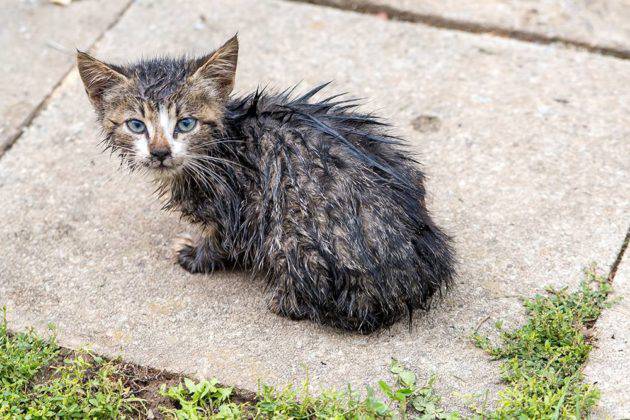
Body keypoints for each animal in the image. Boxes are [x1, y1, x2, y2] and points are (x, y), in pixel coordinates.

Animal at [78, 34, 454, 334]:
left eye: (185, 123)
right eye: (136, 125)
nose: (159, 153)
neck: (222, 145)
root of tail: (416, 277)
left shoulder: (237, 202)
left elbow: (221, 238)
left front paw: (195, 256)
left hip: (289, 229)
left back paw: (285, 300)